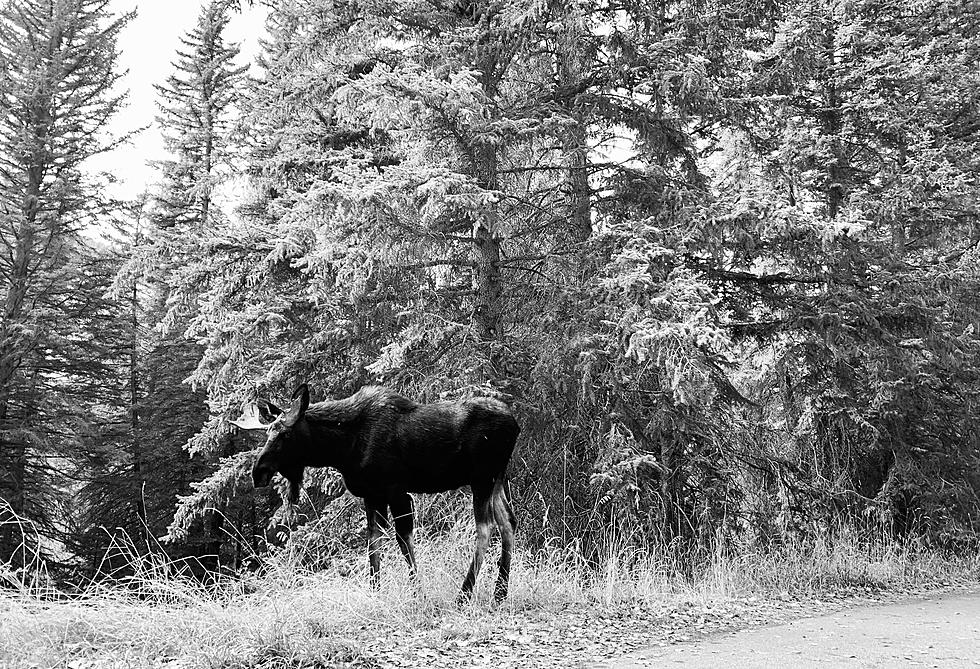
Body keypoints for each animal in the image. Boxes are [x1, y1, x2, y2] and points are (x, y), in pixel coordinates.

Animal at [233, 386, 520, 600]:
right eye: (267, 434)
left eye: (285, 435)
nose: (258, 473)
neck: (342, 448)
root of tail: (516, 425)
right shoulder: (372, 495)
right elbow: (373, 543)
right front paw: (374, 591)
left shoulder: (396, 490)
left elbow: (404, 542)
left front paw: (418, 593)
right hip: (497, 479)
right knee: (508, 523)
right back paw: (500, 592)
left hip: (482, 478)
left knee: (485, 528)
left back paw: (465, 593)